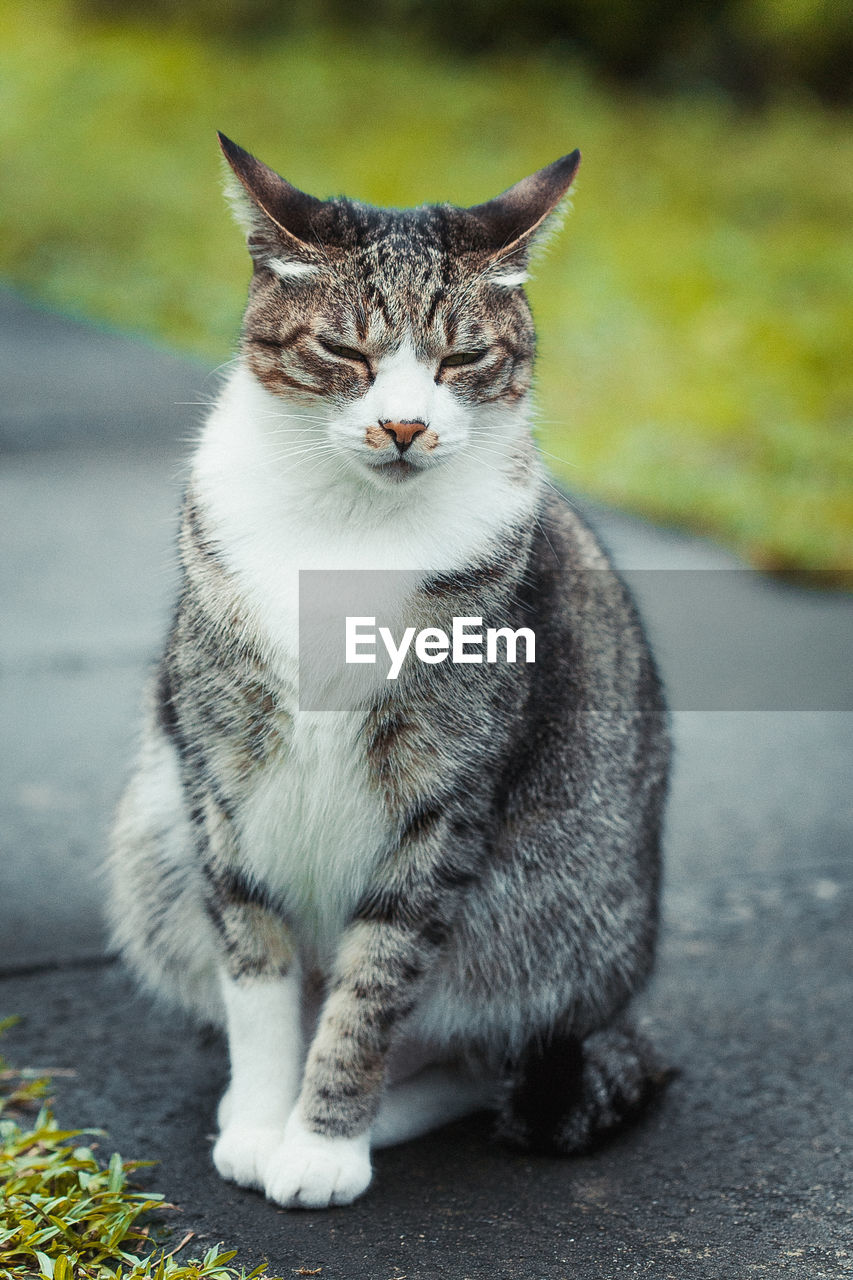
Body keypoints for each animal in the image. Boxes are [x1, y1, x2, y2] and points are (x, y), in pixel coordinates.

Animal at [106, 132, 666, 1208]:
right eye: (345, 352)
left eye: (462, 358)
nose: (404, 427)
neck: (348, 524)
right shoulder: (221, 779)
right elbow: (257, 966)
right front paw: (260, 1117)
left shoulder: (444, 802)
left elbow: (370, 993)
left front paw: (321, 1142)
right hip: (152, 837)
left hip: (550, 919)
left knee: (483, 1060)